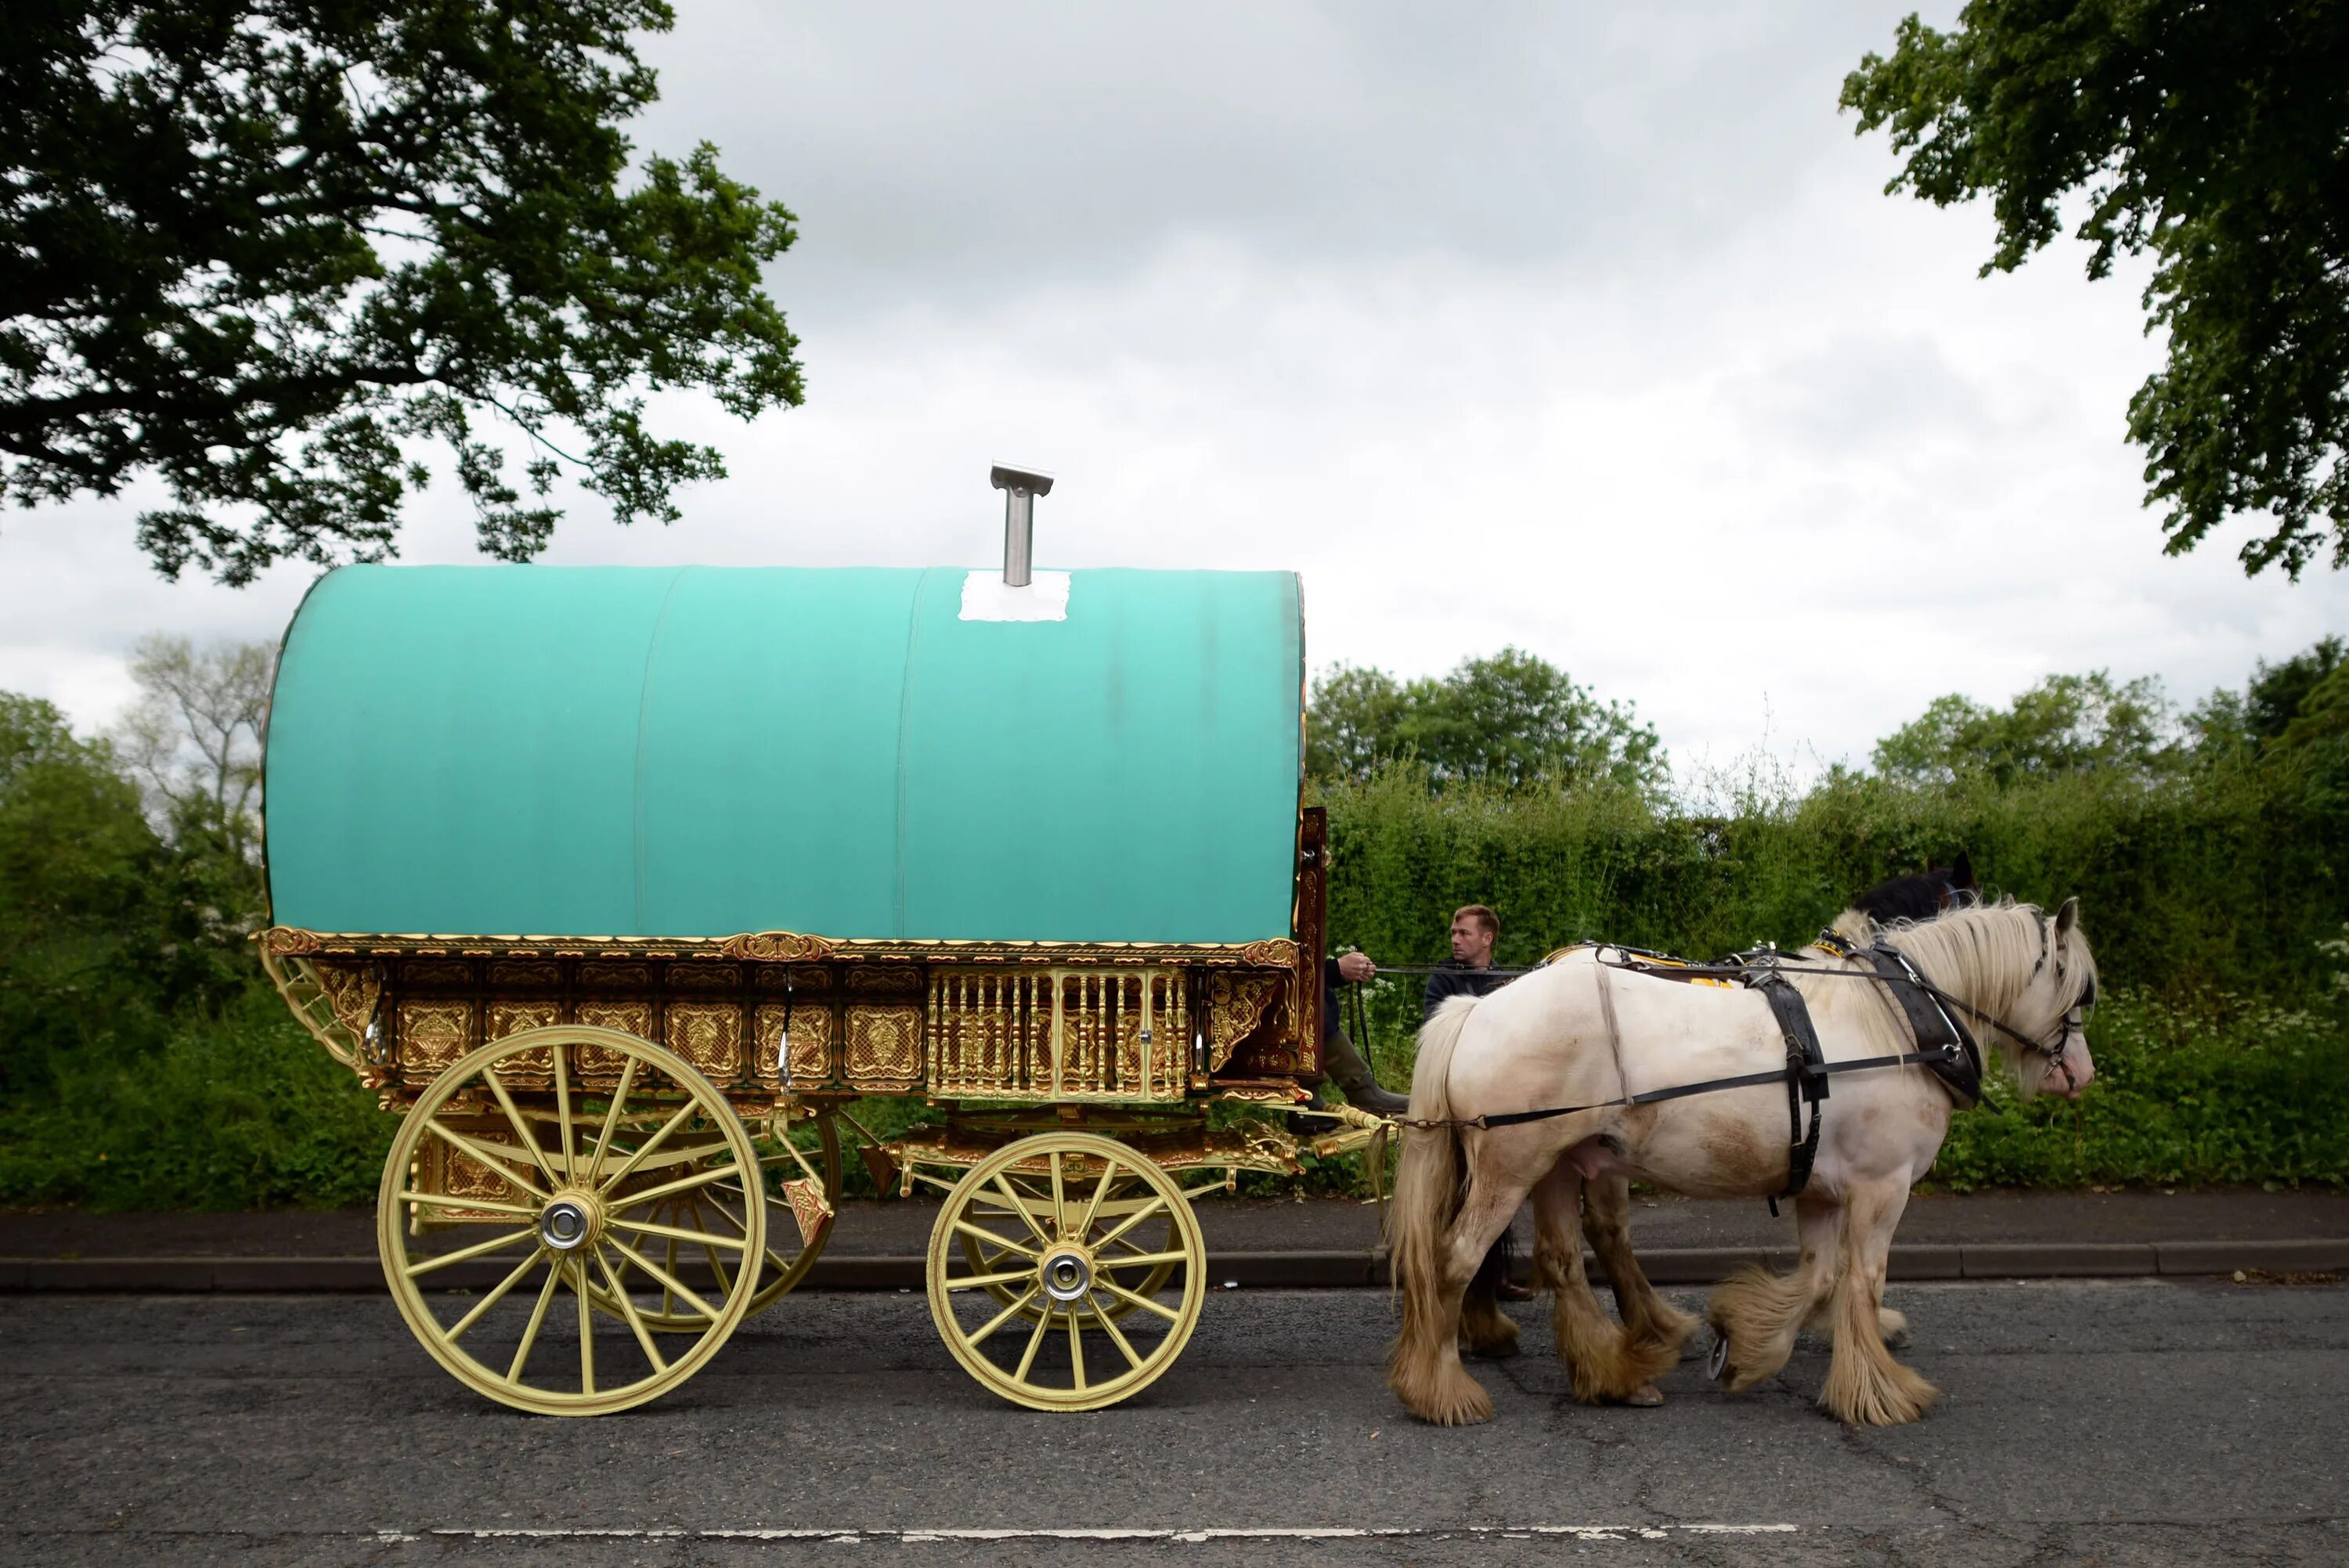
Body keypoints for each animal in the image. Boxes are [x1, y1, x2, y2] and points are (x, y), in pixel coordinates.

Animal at [1391, 901, 2095, 1427]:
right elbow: (1862, 1280)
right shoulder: (1881, 1187)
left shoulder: (1820, 1187)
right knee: (1456, 1259)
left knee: (1564, 1259)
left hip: (1563, 1161)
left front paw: (1747, 1345)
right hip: (1512, 1165)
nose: (2082, 1074)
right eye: (2080, 991)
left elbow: (1820, 1276)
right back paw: (1442, 1388)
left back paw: (1616, 1372)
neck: (1896, 1022)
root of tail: (1478, 1007)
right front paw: (1879, 1391)